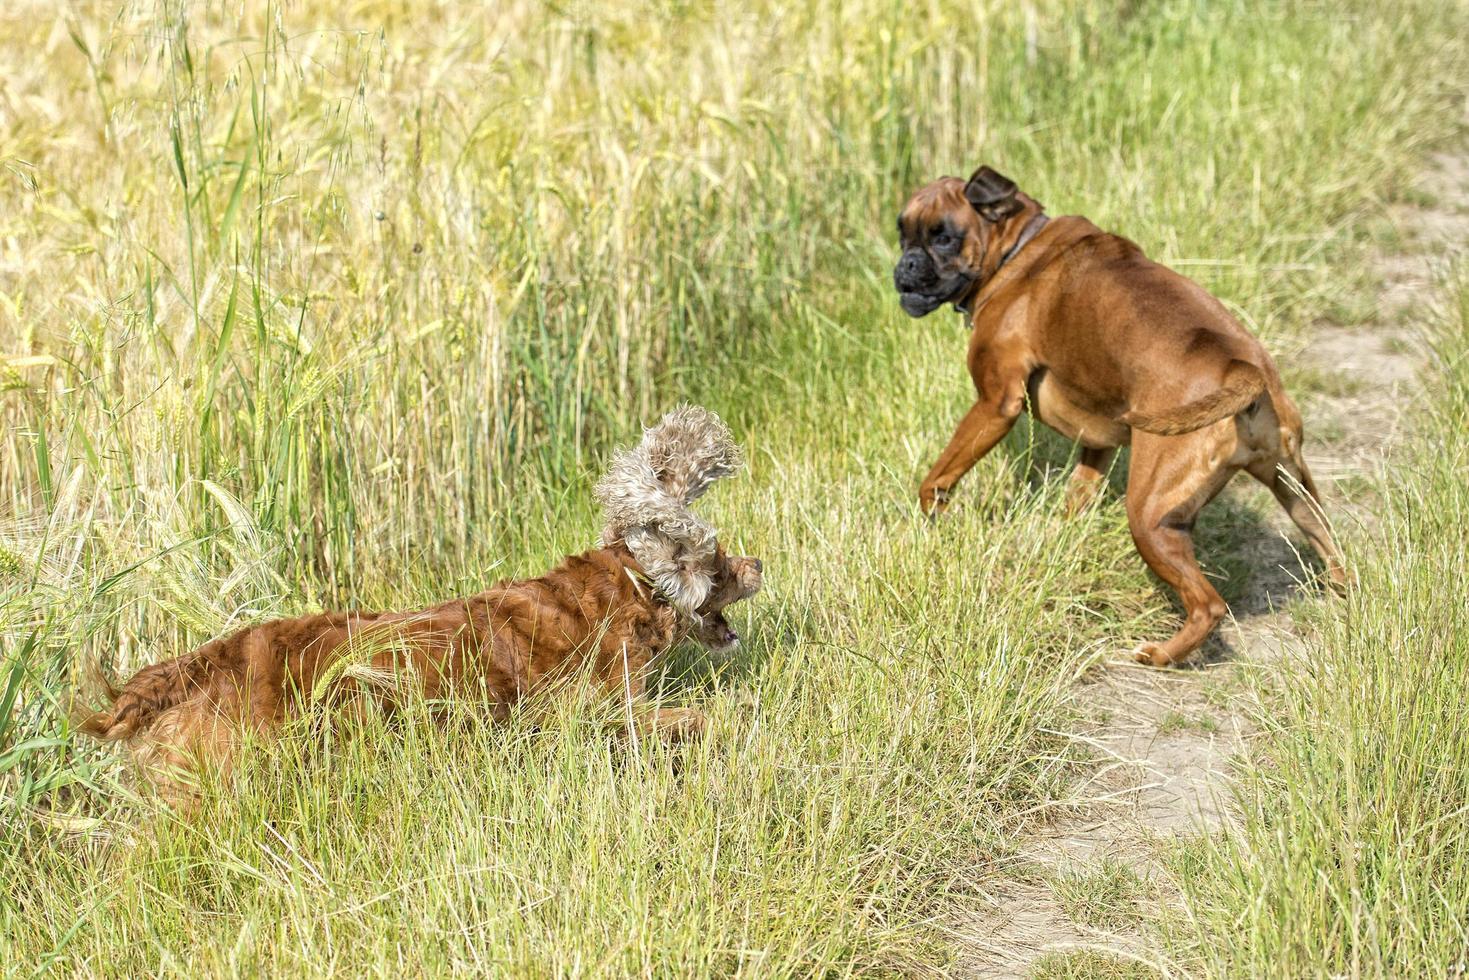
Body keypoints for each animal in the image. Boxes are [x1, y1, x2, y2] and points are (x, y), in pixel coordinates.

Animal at [78, 405, 763, 799]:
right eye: (720, 561)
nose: (759, 565)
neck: (623, 591)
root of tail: (202, 661)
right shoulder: (587, 713)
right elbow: (690, 719)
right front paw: (734, 721)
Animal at [887, 166, 1345, 667]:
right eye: (902, 232)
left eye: (943, 237)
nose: (905, 265)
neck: (1017, 250)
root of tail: (1243, 368)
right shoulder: (1097, 442)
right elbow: (1076, 497)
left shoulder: (994, 404)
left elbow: (937, 478)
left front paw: (934, 522)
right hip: (1296, 491)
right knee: (1331, 549)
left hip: (1149, 516)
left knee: (1209, 605)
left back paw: (1161, 656)